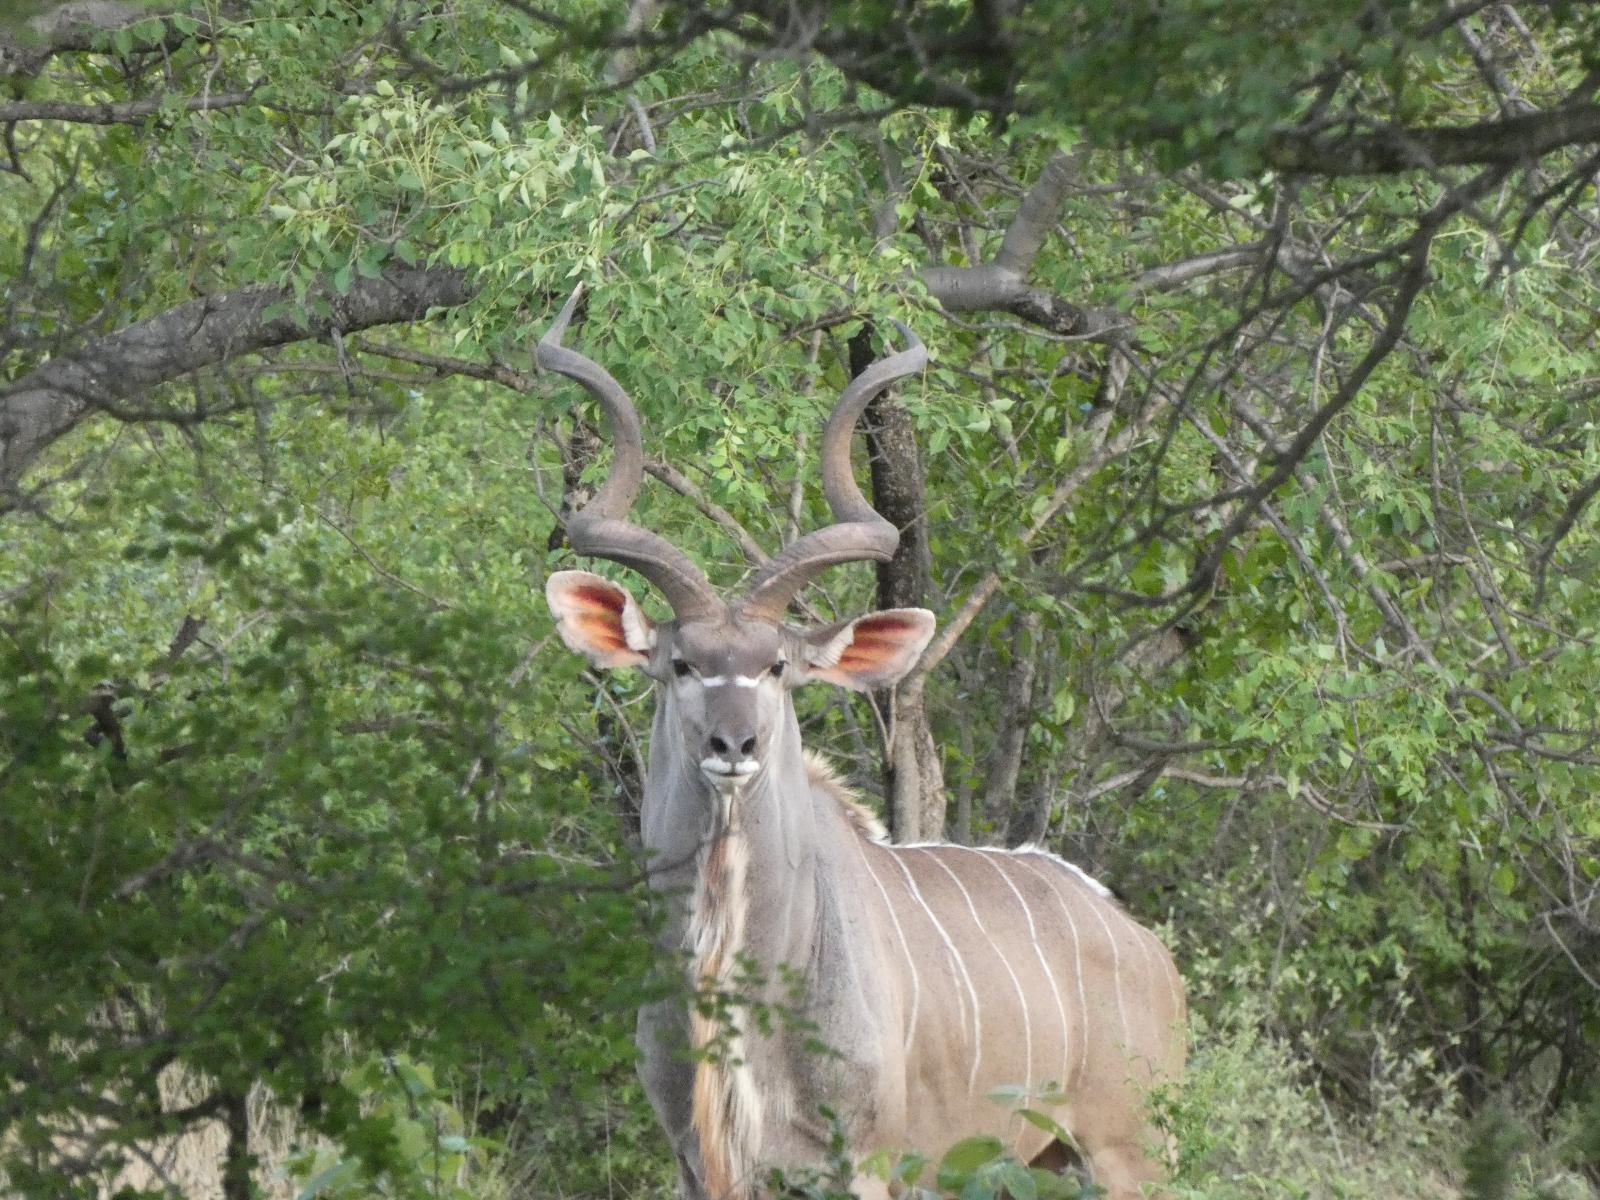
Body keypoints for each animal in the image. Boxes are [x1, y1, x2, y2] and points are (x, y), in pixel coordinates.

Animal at [544, 291, 1184, 1200]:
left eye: (778, 666)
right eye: (681, 664)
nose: (733, 742)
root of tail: (1144, 945)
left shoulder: (866, 1163)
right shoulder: (698, 1163)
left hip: (1131, 1153)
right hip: (1051, 1161)